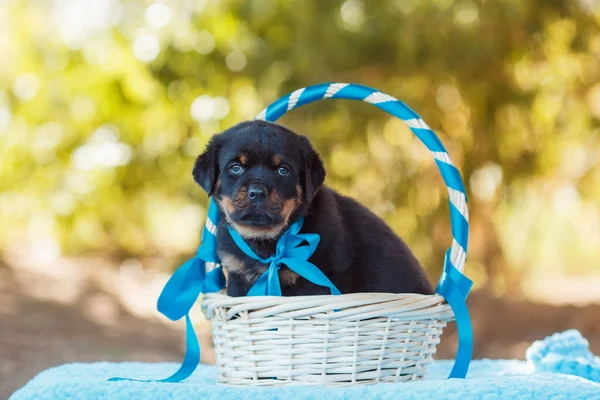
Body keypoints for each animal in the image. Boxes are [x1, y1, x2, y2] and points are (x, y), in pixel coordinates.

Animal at [195, 120, 434, 296]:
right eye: (235, 167)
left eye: (283, 170)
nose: (257, 192)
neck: (266, 244)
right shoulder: (237, 277)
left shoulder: (313, 285)